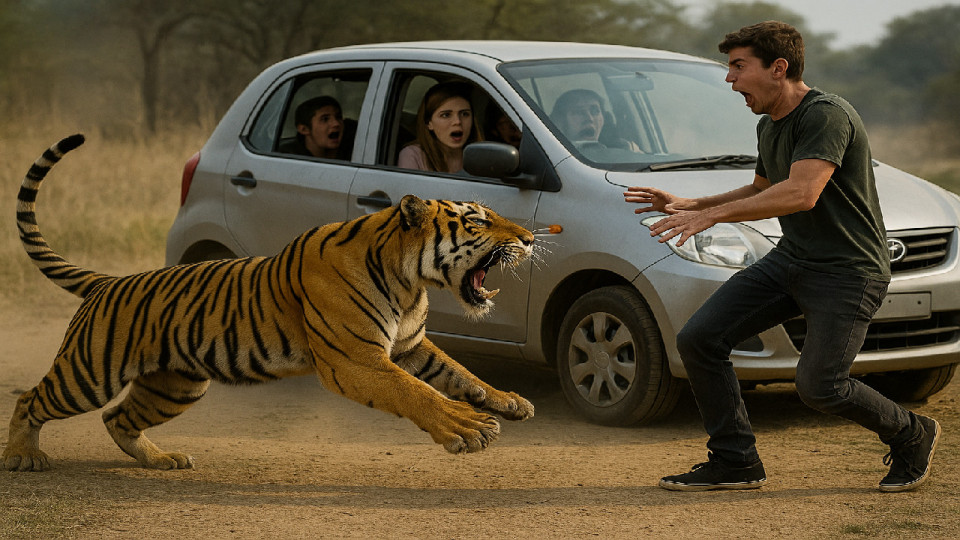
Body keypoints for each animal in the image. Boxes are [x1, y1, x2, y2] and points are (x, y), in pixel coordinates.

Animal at [3, 134, 535, 472]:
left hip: (176, 385)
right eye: (478, 221)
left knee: (117, 419)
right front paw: (467, 427)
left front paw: (507, 401)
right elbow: (417, 392)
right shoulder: (357, 361)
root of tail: (108, 282)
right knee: (32, 398)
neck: (409, 282)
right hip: (90, 372)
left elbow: (459, 374)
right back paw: (23, 457)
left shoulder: (408, 345)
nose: (531, 239)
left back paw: (161, 460)